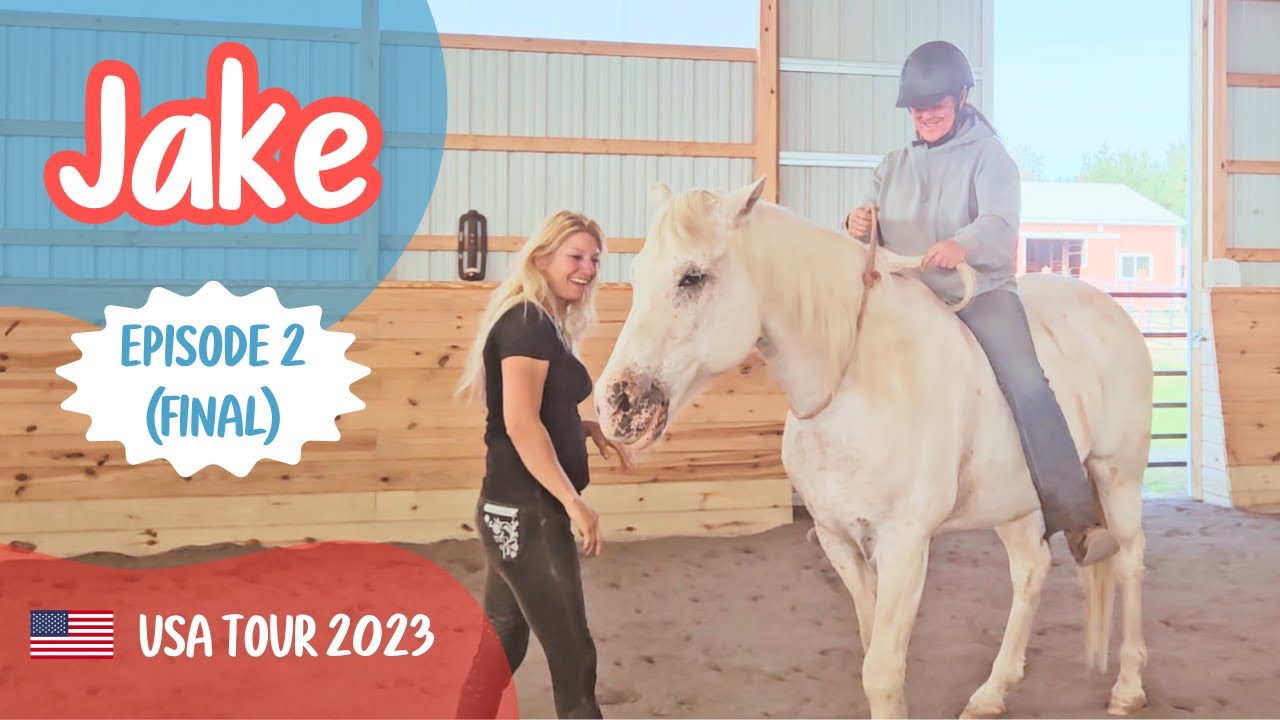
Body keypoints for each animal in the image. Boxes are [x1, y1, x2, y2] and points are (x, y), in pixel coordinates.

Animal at [592, 177, 1151, 719]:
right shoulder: (839, 540)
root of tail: (1116, 313)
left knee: (1128, 562)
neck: (861, 381)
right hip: (1012, 502)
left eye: (692, 277)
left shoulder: (904, 546)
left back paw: (1128, 688)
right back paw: (991, 695)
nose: (617, 403)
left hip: (1117, 476)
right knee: (1031, 571)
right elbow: (873, 653)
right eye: (637, 274)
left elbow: (880, 673)